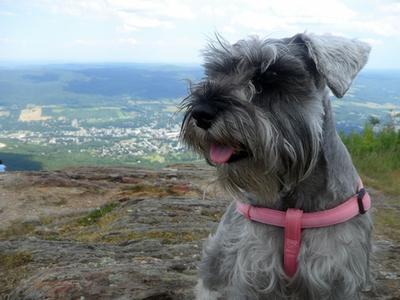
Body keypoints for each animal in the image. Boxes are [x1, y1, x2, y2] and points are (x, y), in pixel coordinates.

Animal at [180, 32, 374, 300]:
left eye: (269, 78)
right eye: (217, 73)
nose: (201, 112)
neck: (293, 203)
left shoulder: (338, 277)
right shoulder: (251, 271)